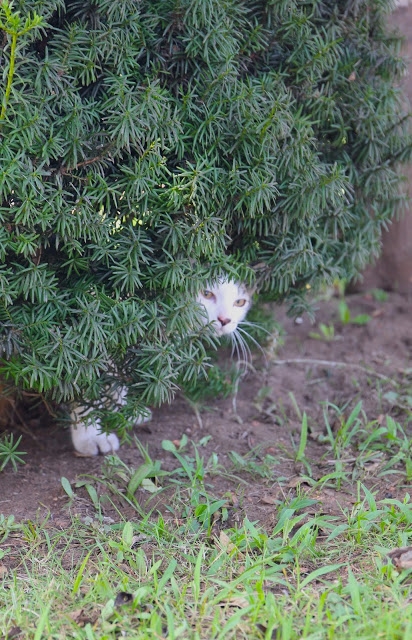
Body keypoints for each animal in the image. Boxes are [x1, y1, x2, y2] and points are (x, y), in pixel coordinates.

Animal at [70, 280, 251, 456]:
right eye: (206, 293)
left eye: (239, 302)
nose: (224, 320)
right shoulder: (90, 346)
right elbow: (85, 392)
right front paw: (91, 435)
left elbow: (118, 378)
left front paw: (123, 411)